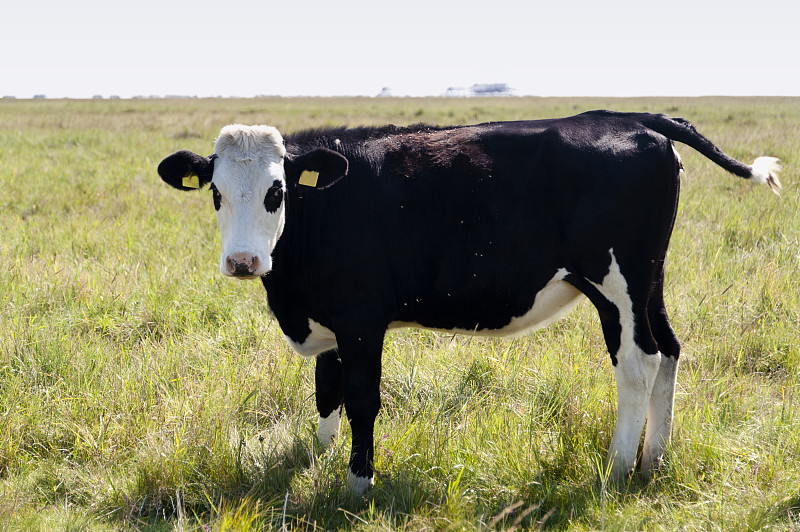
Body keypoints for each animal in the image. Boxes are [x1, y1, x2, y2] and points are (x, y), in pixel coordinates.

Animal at [158, 112, 780, 494]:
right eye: (216, 193)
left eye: (277, 191)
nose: (243, 261)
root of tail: (630, 118)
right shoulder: (328, 318)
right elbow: (326, 392)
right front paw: (319, 457)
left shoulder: (361, 318)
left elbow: (361, 398)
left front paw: (359, 482)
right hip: (649, 280)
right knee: (669, 351)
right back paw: (653, 461)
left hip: (616, 284)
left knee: (638, 362)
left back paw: (617, 469)